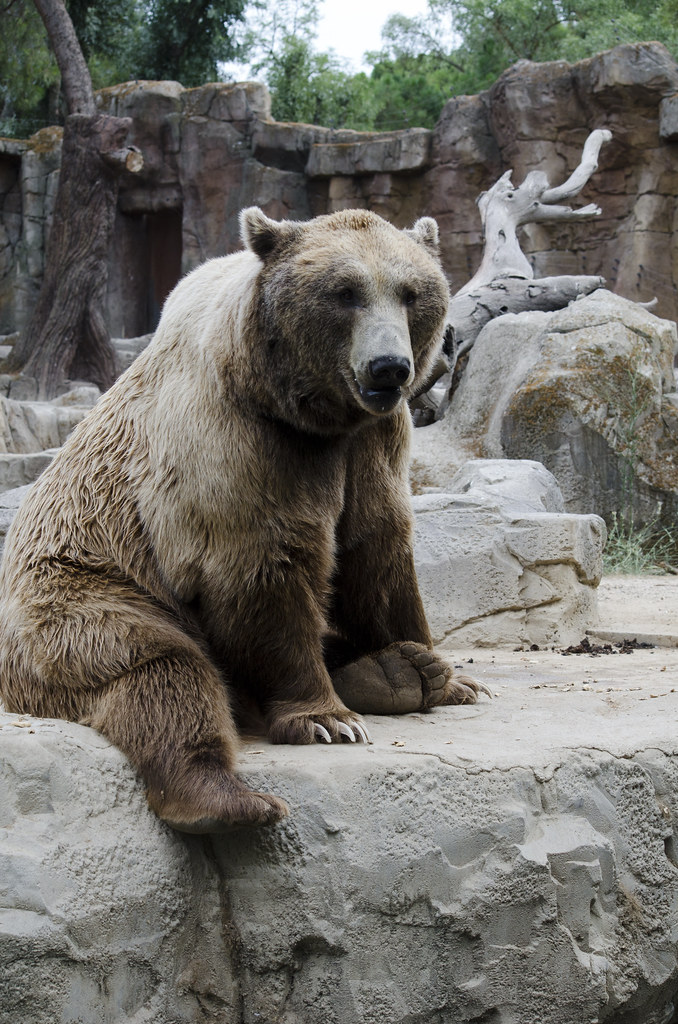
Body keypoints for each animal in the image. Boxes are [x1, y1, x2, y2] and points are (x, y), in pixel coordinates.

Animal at [0, 207, 484, 833]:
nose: (389, 368)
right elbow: (263, 570)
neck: (311, 414)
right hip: (81, 598)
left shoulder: (374, 442)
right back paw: (232, 799)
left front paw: (451, 675)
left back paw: (397, 671)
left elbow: (377, 550)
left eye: (410, 292)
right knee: (157, 669)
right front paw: (326, 719)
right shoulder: (239, 444)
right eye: (345, 293)